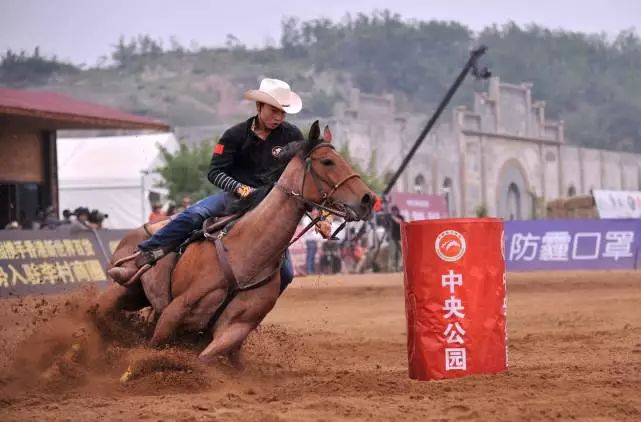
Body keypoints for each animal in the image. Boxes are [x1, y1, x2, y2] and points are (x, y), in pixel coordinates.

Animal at [91, 120, 376, 368]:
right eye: (327, 161)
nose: (368, 199)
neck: (246, 251)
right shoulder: (175, 310)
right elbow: (152, 347)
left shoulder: (237, 327)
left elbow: (207, 358)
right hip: (124, 290)